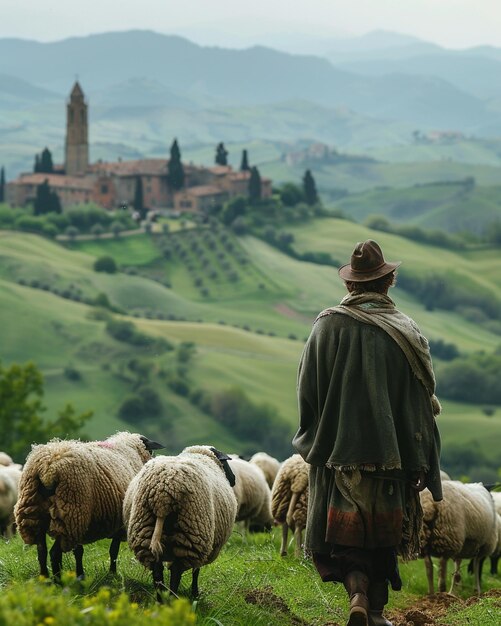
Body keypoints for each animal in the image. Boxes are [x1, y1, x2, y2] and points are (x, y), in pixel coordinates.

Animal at [14, 432, 162, 576]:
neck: (130, 449)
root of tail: (48, 470)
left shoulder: (83, 520)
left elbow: (79, 552)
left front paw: (80, 574)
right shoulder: (117, 525)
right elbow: (113, 551)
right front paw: (112, 573)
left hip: (36, 512)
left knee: (41, 551)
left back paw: (44, 577)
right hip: (71, 512)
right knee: (54, 553)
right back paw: (58, 580)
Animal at [122, 444, 236, 600]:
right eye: (226, 463)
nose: (234, 479)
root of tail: (162, 494)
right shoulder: (204, 541)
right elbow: (196, 571)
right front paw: (195, 593)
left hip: (144, 527)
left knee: (157, 571)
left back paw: (161, 599)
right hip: (192, 532)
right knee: (176, 571)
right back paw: (172, 597)